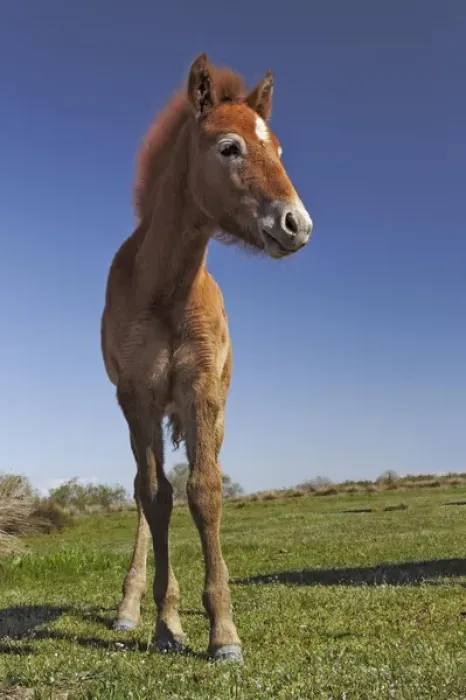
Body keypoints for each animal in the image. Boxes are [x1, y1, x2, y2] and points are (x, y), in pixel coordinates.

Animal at [100, 53, 313, 663]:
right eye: (230, 147)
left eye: (279, 149)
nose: (297, 224)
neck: (165, 289)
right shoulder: (137, 397)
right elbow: (155, 496)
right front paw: (167, 624)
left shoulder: (202, 393)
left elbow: (206, 492)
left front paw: (223, 632)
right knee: (142, 494)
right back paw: (130, 609)